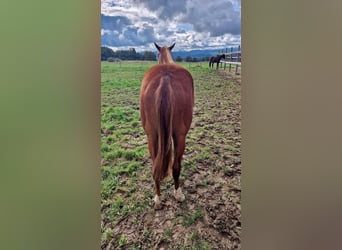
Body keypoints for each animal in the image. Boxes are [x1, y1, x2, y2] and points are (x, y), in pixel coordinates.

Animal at [139, 42, 192, 209]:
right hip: (180, 136)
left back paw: (157, 198)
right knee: (176, 167)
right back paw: (178, 194)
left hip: (151, 135)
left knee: (155, 165)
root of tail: (165, 77)